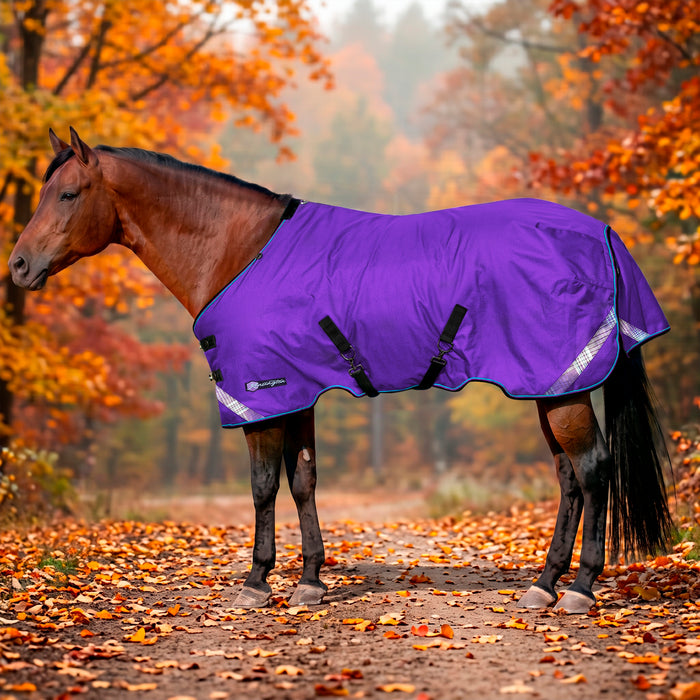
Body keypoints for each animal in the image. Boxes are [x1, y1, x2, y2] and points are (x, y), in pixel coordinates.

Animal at [8, 128, 672, 614]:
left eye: (68, 194)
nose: (17, 266)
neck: (240, 252)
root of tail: (601, 233)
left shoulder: (260, 395)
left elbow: (262, 487)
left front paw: (256, 582)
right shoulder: (296, 392)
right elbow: (302, 481)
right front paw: (309, 581)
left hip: (562, 387)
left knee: (593, 469)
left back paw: (580, 589)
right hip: (550, 385)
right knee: (568, 478)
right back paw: (545, 584)